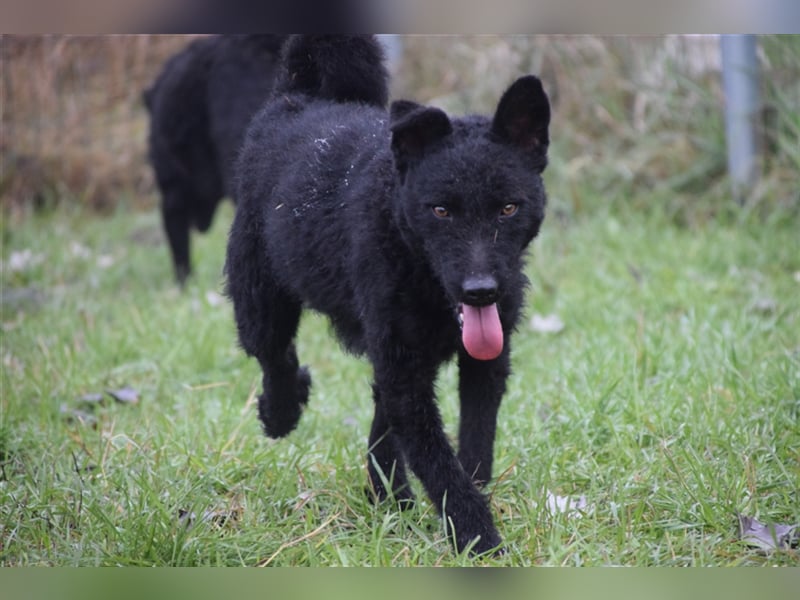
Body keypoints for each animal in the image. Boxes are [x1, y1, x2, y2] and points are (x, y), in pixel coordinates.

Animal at [225, 35, 552, 556]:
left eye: (507, 208)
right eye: (441, 211)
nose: (481, 292)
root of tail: (296, 98)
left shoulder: (482, 365)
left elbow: (474, 446)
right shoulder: (406, 375)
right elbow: (440, 466)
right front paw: (479, 539)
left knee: (378, 417)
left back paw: (389, 500)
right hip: (259, 301)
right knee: (275, 357)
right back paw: (282, 410)